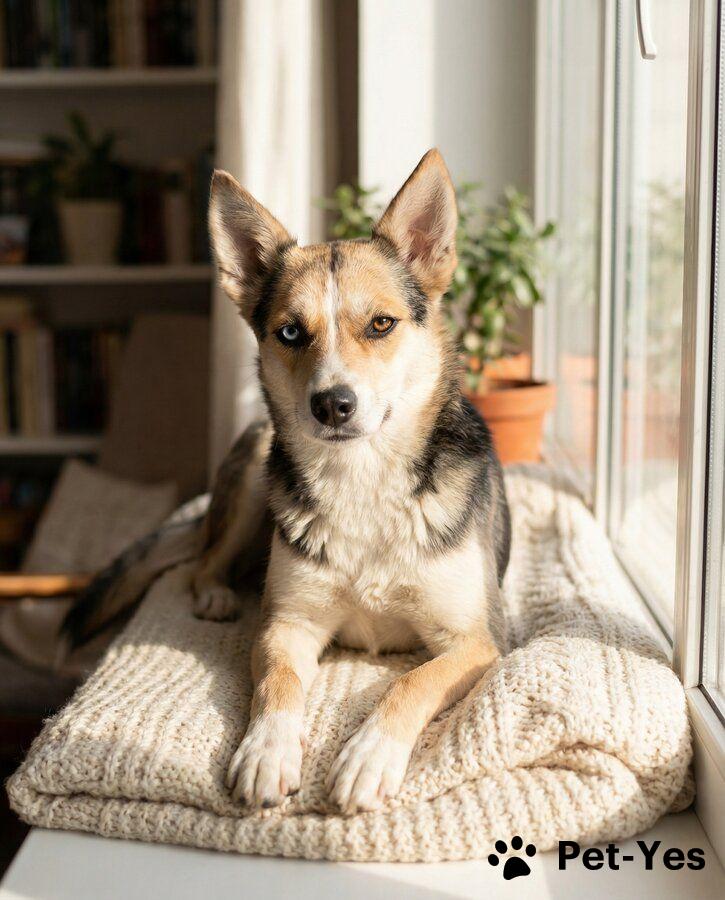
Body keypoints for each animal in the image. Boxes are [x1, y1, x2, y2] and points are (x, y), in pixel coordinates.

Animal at [63, 149, 511, 815]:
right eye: (291, 332)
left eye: (382, 324)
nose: (333, 404)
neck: (362, 481)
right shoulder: (286, 626)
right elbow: (277, 684)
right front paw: (267, 751)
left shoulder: (477, 641)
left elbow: (411, 681)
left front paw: (369, 756)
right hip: (256, 468)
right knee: (203, 560)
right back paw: (217, 593)